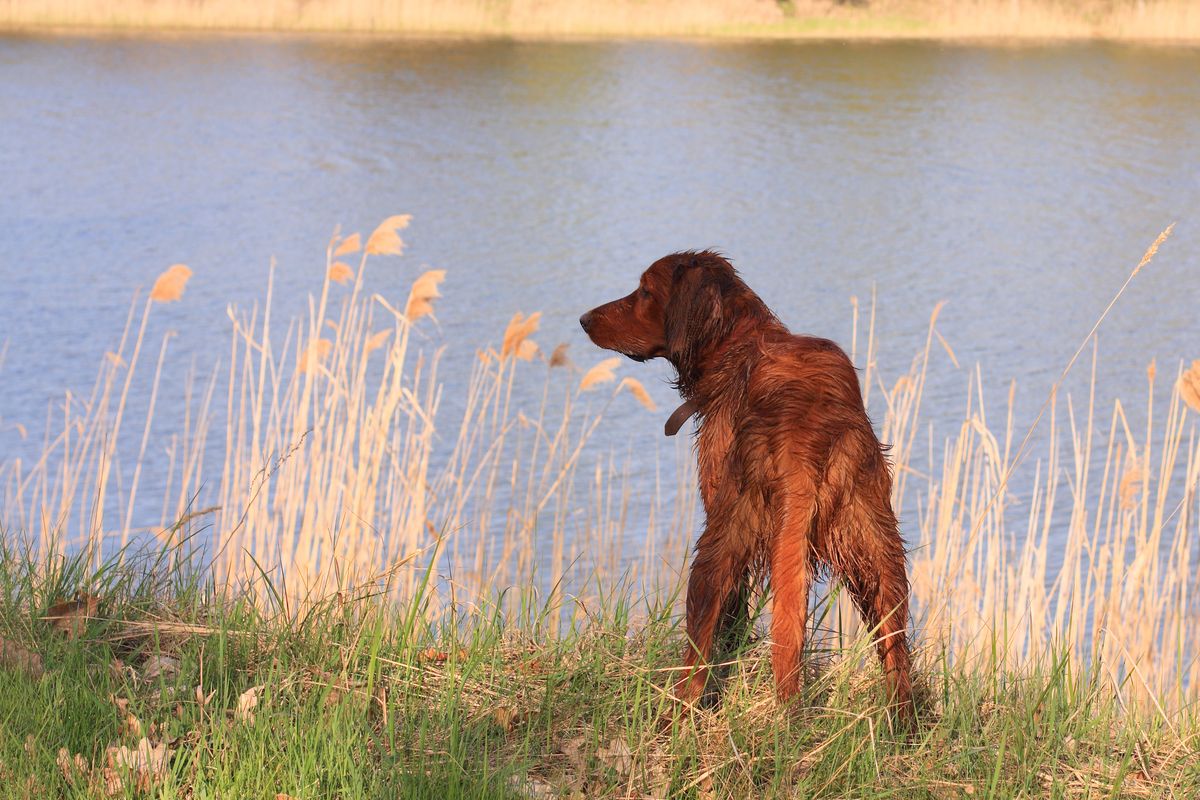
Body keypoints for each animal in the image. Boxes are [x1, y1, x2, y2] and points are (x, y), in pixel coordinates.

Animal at [583, 251, 916, 724]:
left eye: (645, 291)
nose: (583, 319)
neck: (740, 344)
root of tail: (804, 436)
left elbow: (727, 623)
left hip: (719, 543)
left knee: (697, 649)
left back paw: (678, 716)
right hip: (878, 543)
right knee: (895, 648)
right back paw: (902, 722)